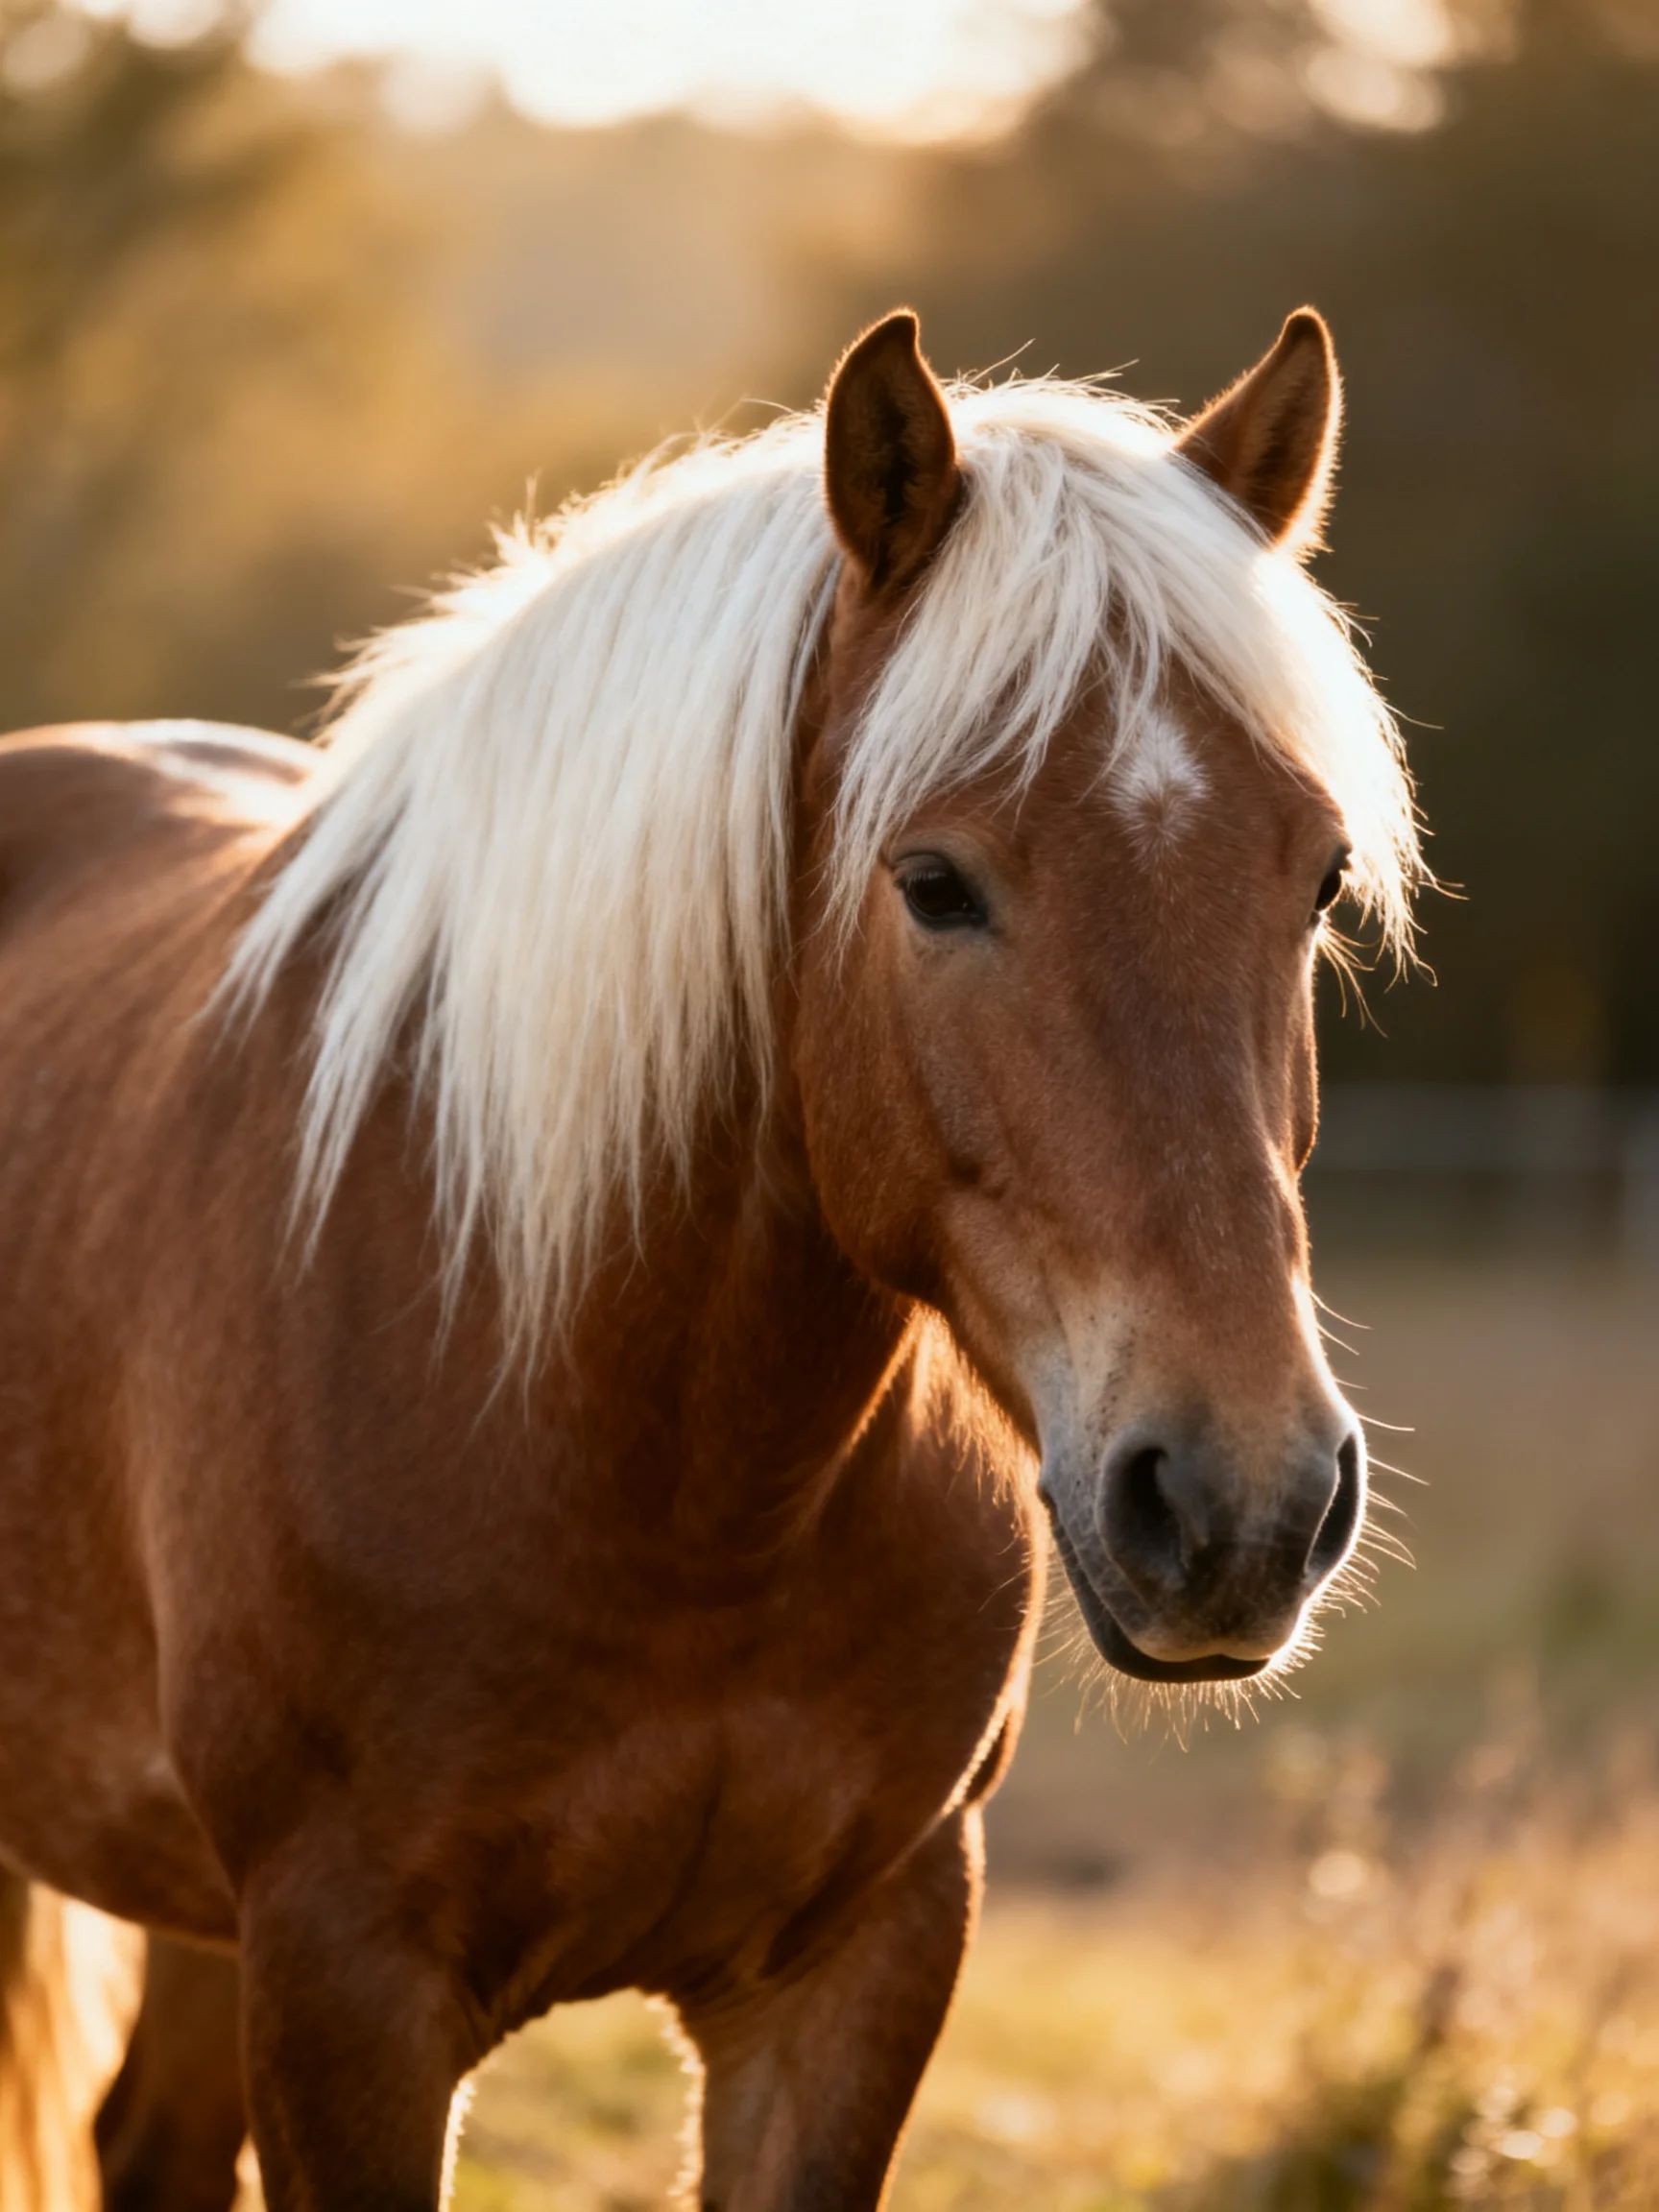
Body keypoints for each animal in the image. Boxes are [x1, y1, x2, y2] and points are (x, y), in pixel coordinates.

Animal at [0, 305, 1417, 2211]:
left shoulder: (858, 1964)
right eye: (933, 881)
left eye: (1318, 877)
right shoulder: (345, 1983)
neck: (665, 1474)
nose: (1236, 1504)